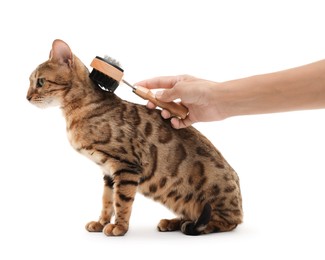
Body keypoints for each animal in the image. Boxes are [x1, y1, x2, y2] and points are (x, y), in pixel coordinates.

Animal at [26, 38, 242, 236]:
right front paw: (101, 222)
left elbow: (122, 202)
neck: (77, 111)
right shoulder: (108, 172)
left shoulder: (126, 166)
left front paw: (119, 227)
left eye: (40, 81)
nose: (26, 97)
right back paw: (172, 222)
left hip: (215, 204)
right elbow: (107, 201)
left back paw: (195, 226)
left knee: (227, 223)